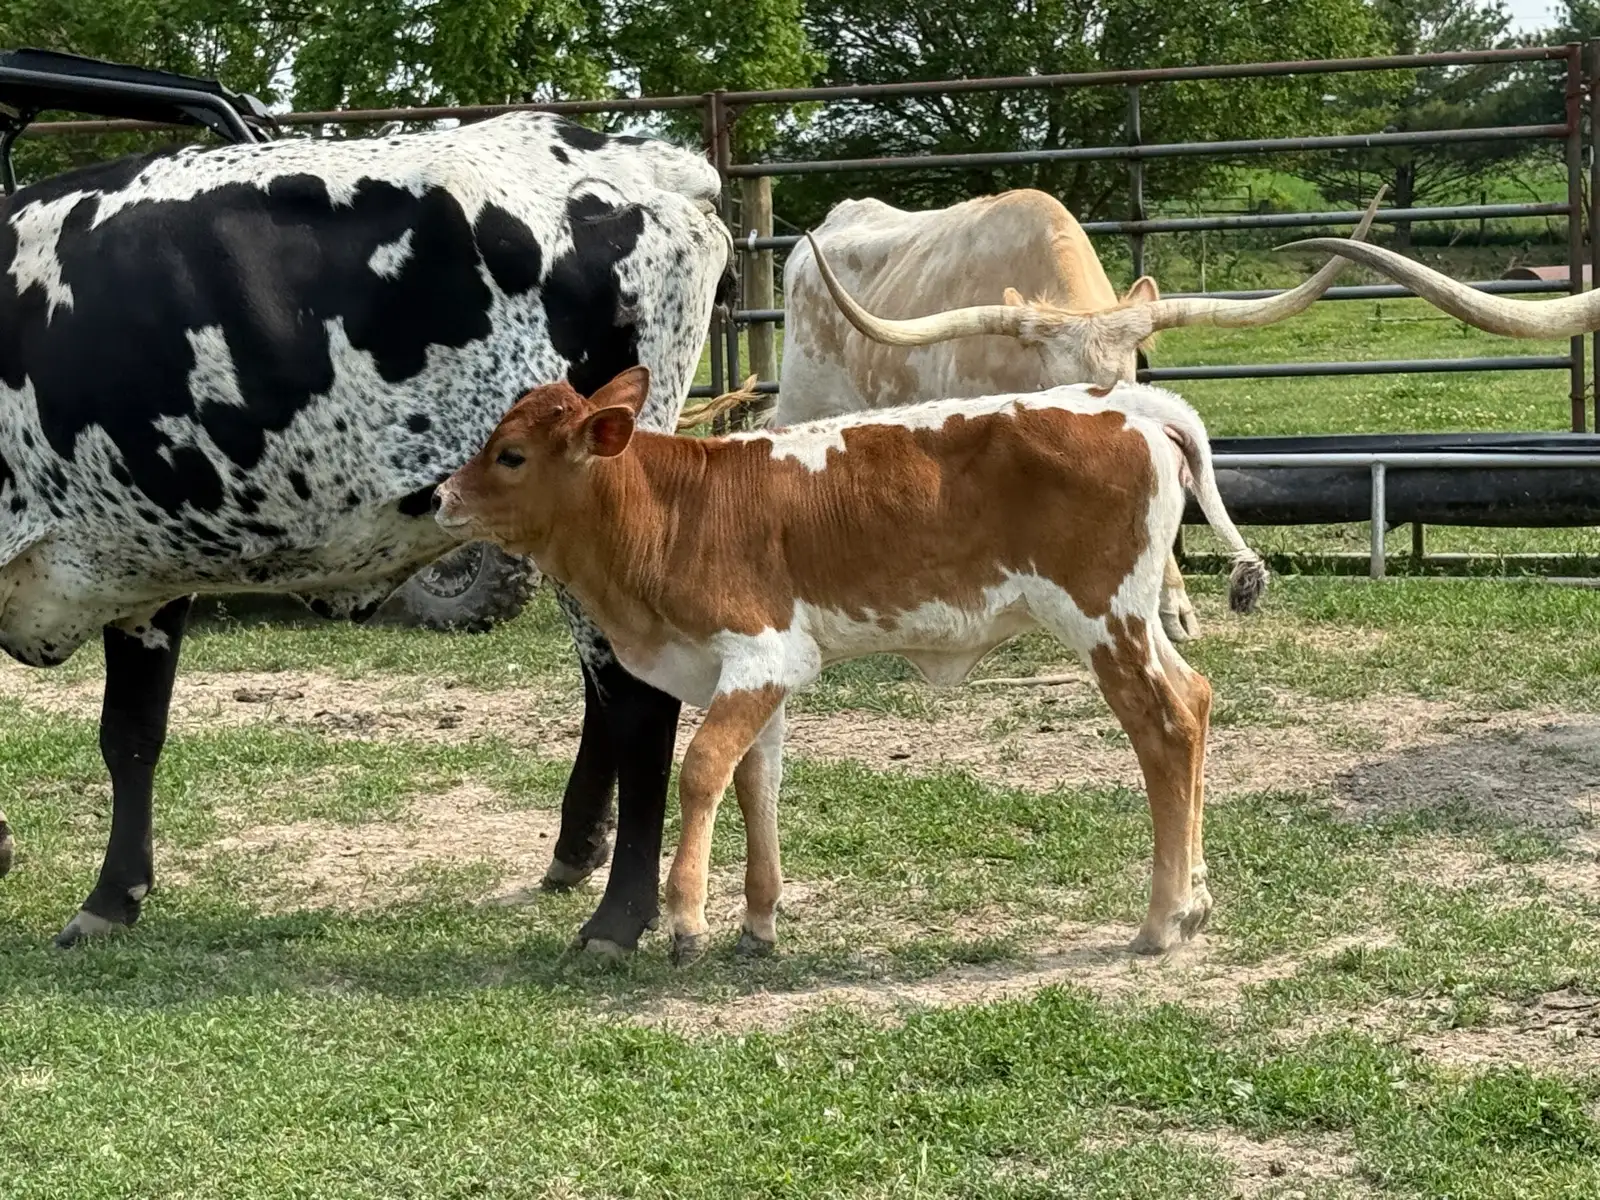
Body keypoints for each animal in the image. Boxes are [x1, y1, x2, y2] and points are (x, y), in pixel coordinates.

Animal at [0, 112, 733, 949]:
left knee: (639, 703)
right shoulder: (140, 564)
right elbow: (130, 734)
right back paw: (575, 852)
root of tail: (644, 161)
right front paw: (113, 895)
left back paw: (619, 915)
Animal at [434, 365, 1268, 961]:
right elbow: (756, 780)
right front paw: (758, 921)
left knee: (1163, 730)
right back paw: (1194, 900)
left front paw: (688, 919)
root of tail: (1123, 401)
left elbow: (703, 769)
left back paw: (1162, 918)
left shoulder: (763, 652)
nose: (439, 496)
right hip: (1135, 621)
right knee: (1195, 699)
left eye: (510, 456)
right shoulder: (764, 675)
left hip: (1101, 620)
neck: (672, 508)